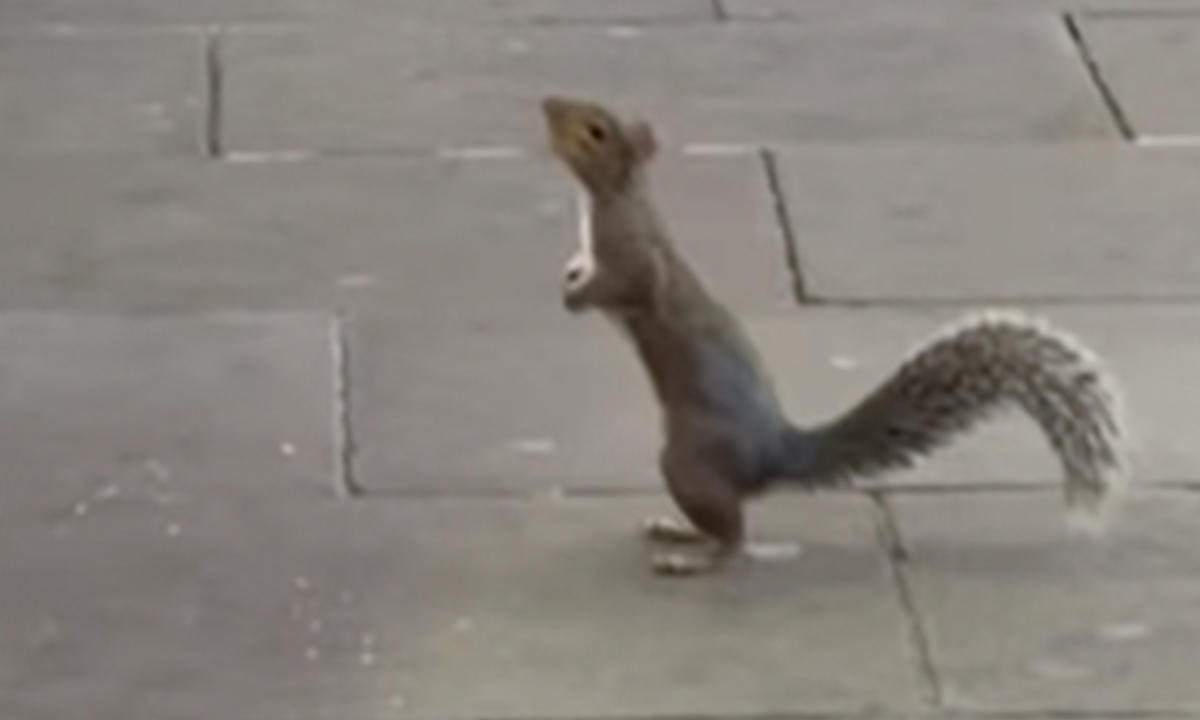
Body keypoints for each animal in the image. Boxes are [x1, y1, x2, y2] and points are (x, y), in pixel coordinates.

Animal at [540, 95, 1130, 577]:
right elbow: (582, 267)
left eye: (595, 131)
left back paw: (692, 556)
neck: (615, 196)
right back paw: (677, 528)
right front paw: (569, 276)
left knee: (734, 537)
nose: (547, 104)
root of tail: (775, 454)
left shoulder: (634, 259)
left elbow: (626, 286)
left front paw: (575, 298)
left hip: (687, 459)